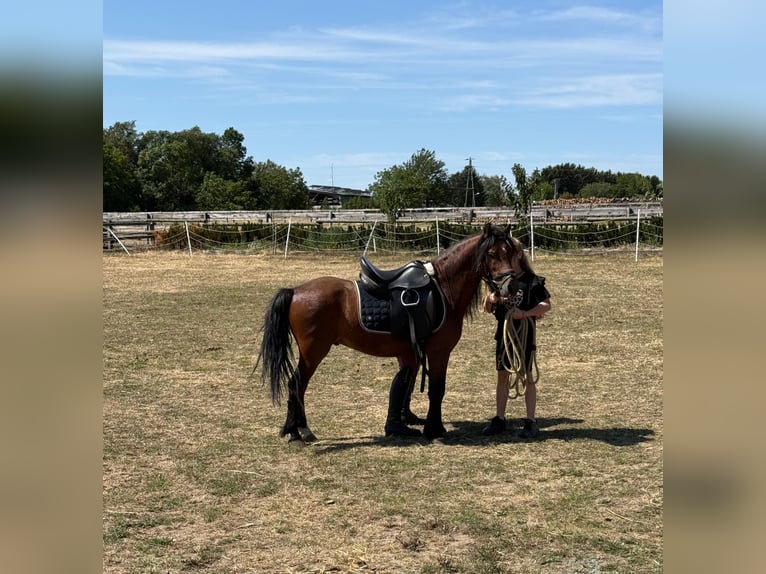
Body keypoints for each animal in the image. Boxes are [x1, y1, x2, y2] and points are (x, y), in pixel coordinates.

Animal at [255, 222, 519, 444]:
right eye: (492, 254)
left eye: (511, 253)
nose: (510, 286)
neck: (443, 289)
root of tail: (295, 291)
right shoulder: (439, 352)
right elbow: (437, 389)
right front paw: (434, 430)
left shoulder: (415, 351)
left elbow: (407, 385)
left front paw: (406, 424)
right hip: (313, 352)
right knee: (296, 385)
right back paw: (297, 431)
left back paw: (298, 429)